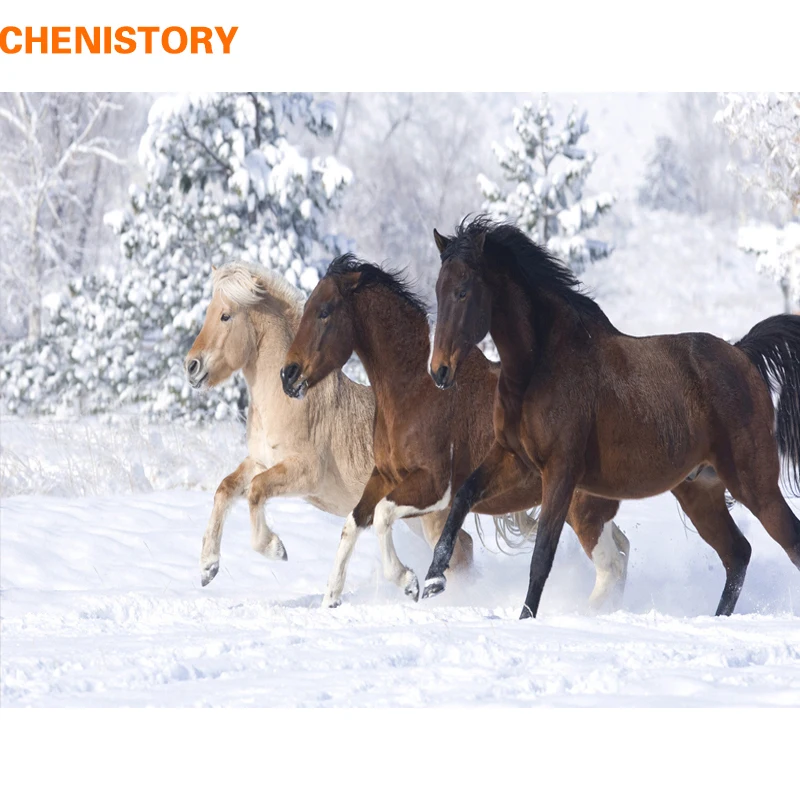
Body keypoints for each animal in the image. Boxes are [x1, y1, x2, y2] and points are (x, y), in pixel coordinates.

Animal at [185, 260, 478, 602]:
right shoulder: (260, 461)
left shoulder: (304, 473)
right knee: (464, 547)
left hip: (431, 516)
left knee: (459, 552)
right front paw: (208, 567)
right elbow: (225, 489)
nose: (191, 366)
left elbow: (256, 491)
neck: (287, 400)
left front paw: (276, 549)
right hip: (417, 518)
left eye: (225, 315)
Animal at [280, 254, 630, 608]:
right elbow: (353, 524)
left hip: (581, 509)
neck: (415, 390)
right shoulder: (385, 476)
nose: (288, 374)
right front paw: (331, 599)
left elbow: (382, 516)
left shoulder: (435, 486)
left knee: (611, 566)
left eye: (324, 311)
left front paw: (409, 582)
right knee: (621, 551)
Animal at [423, 216, 800, 620]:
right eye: (438, 290)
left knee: (786, 542)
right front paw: (433, 580)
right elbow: (462, 496)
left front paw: (525, 618)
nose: (439, 371)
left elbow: (541, 556)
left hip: (754, 483)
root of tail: (742, 354)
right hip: (701, 491)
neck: (541, 365)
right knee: (737, 555)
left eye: (463, 291)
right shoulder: (514, 460)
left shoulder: (561, 472)